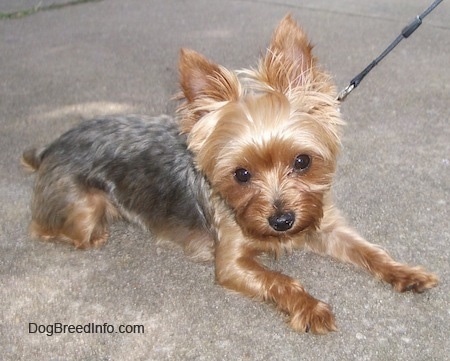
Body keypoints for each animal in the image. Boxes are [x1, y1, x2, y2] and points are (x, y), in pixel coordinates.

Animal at [22, 15, 438, 334]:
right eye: (241, 174)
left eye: (303, 161)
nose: (282, 221)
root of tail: (52, 146)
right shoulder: (233, 262)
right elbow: (279, 279)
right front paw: (311, 307)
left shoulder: (323, 223)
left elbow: (369, 250)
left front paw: (405, 273)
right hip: (83, 211)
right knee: (49, 229)